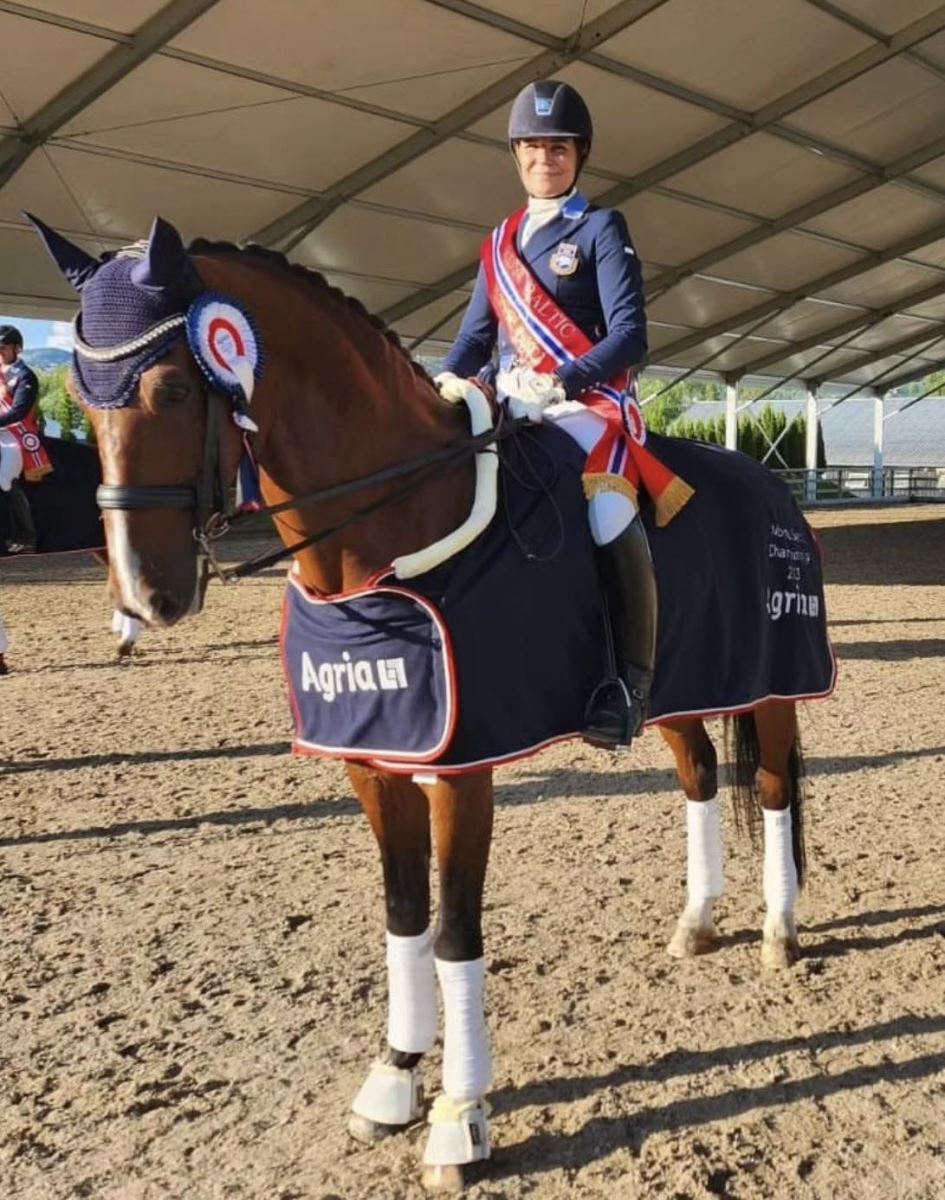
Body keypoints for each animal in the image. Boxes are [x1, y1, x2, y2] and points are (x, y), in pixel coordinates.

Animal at [32, 214, 831, 1192]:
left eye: (175, 386)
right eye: (80, 392)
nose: (147, 596)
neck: (384, 534)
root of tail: (764, 484)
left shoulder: (460, 768)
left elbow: (453, 933)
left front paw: (459, 1119)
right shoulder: (376, 763)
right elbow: (404, 919)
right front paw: (394, 1081)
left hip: (773, 680)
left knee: (773, 788)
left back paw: (779, 931)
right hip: (683, 689)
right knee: (702, 780)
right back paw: (697, 921)